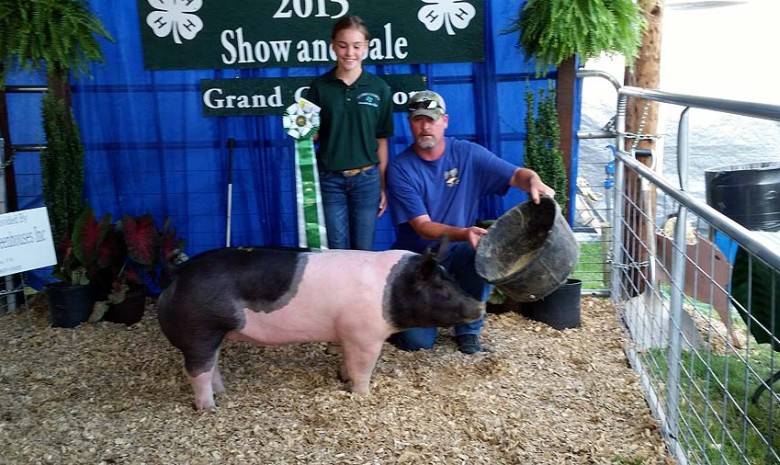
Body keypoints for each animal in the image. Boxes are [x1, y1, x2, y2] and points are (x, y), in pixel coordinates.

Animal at [155, 241, 484, 408]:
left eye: (452, 277)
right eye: (440, 287)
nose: (479, 307)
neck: (391, 291)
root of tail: (180, 271)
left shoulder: (347, 332)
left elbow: (347, 361)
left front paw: (342, 377)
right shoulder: (365, 334)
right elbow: (363, 367)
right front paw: (363, 396)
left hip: (214, 332)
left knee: (212, 365)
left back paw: (223, 395)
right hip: (199, 329)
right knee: (196, 370)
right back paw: (210, 408)